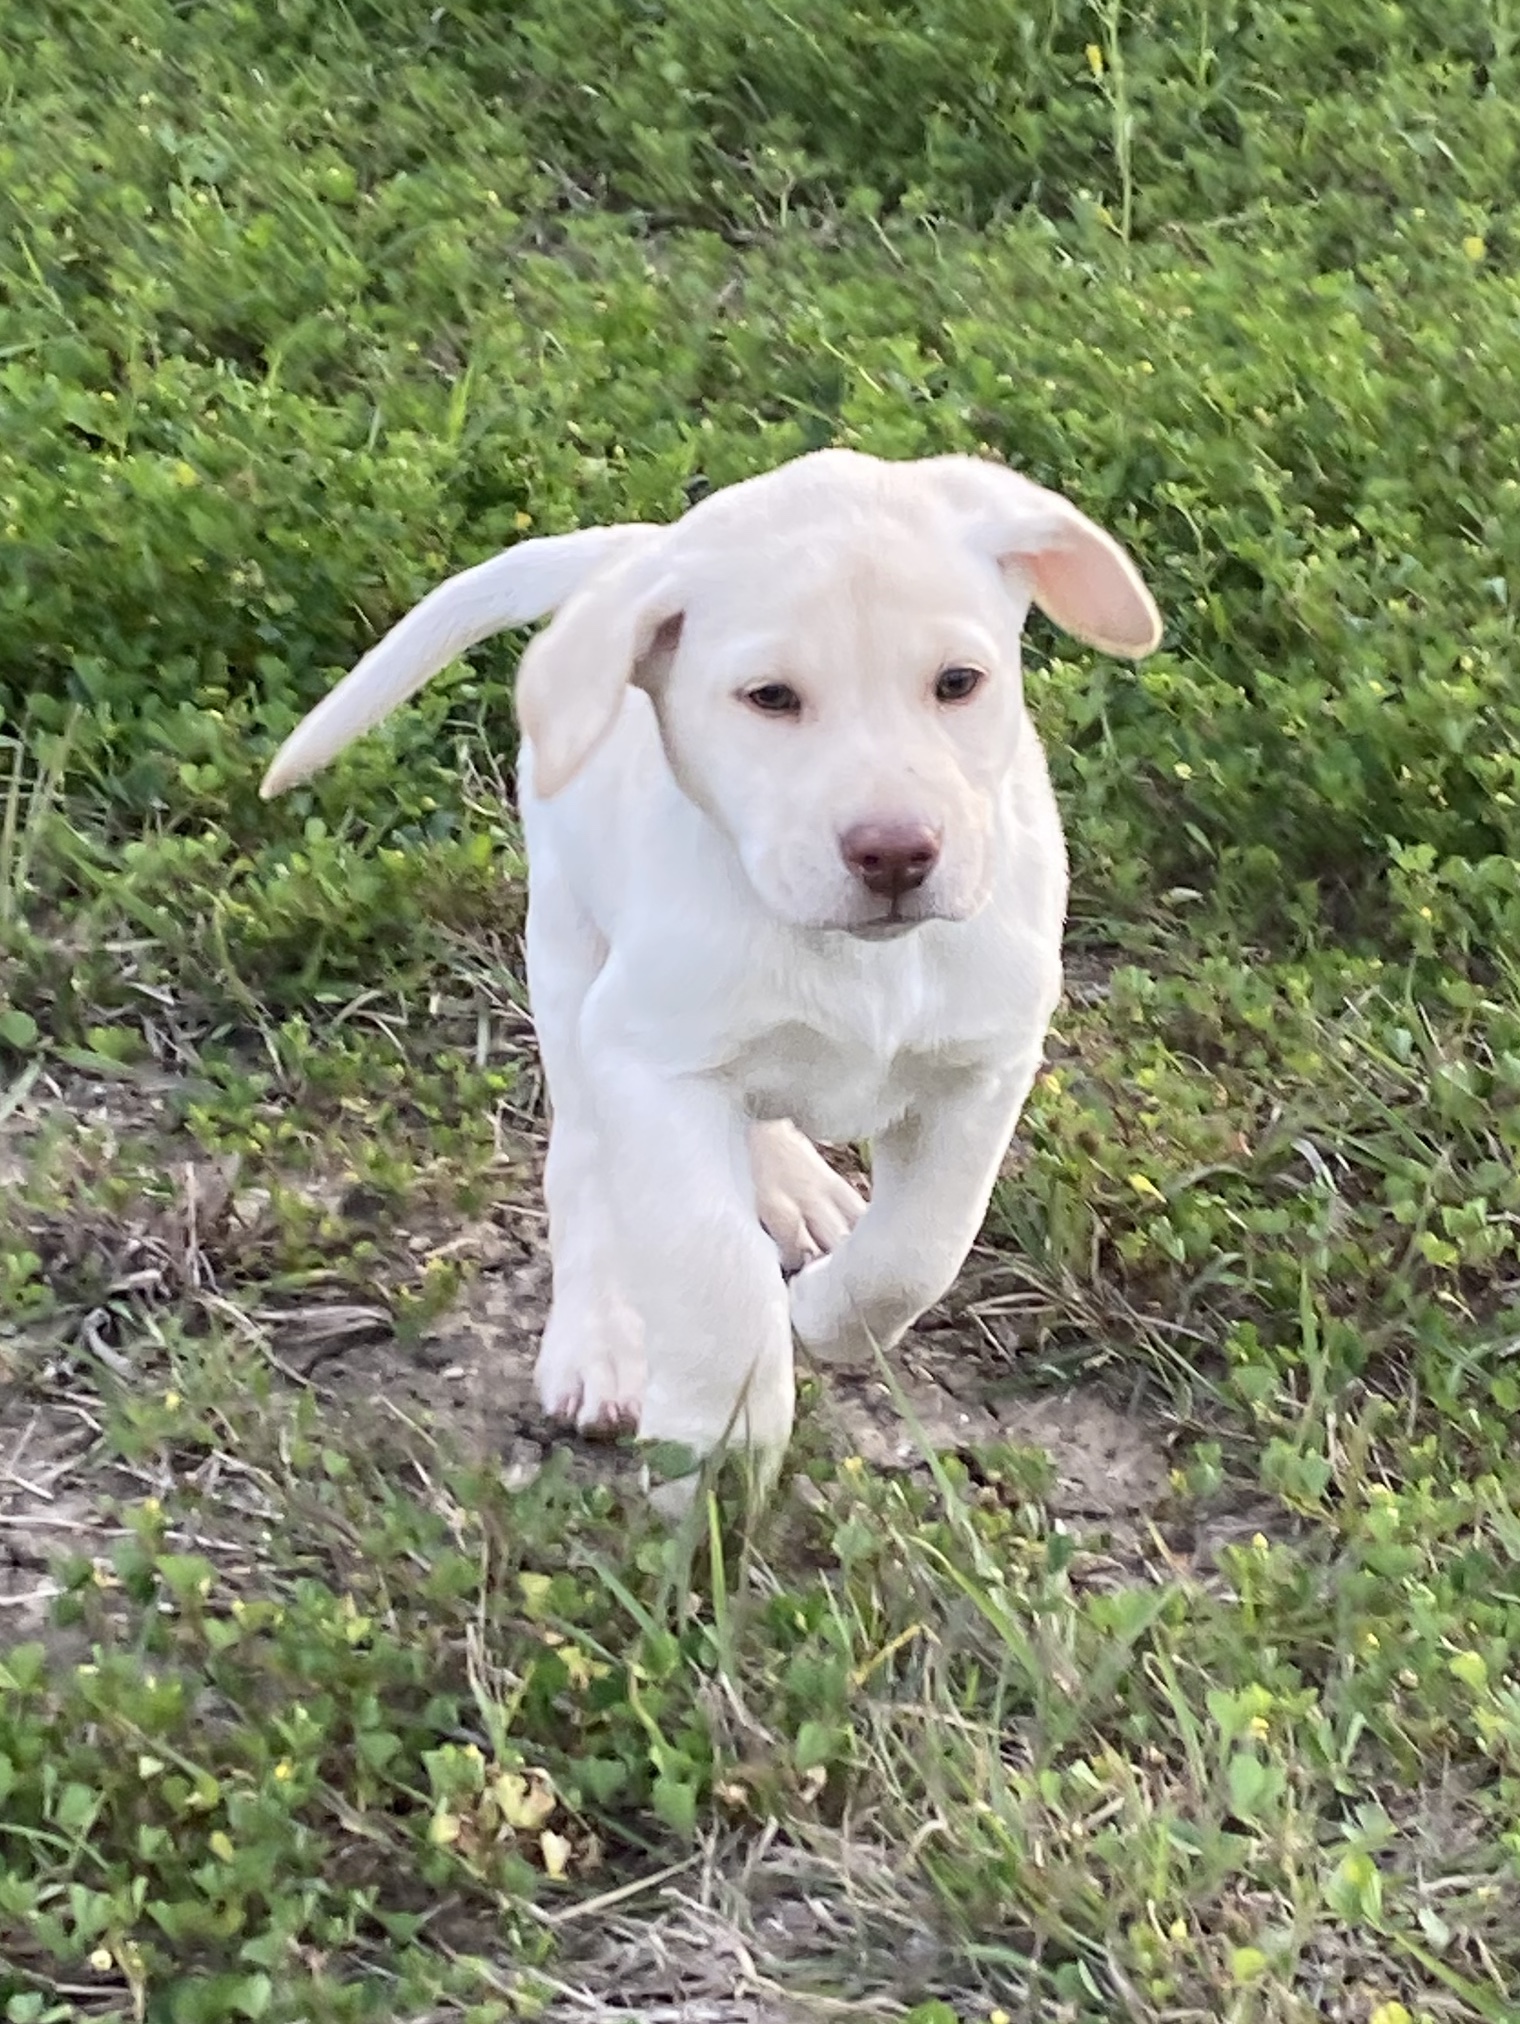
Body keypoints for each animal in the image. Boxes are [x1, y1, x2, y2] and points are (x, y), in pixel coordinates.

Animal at [261, 447, 1165, 1489]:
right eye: (770, 698)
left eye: (958, 681)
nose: (896, 855)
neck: (855, 955)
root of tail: (630, 554)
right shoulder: (649, 1062)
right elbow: (708, 1263)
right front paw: (722, 1436)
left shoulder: (985, 1066)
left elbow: (919, 1247)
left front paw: (827, 1315)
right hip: (569, 959)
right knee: (584, 1164)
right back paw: (605, 1342)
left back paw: (797, 1190)